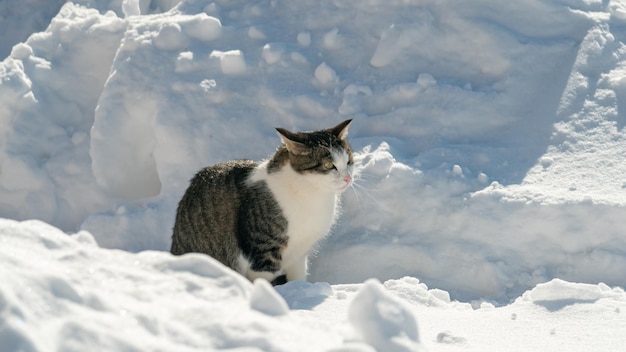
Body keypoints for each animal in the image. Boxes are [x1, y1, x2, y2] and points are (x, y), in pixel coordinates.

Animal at [171, 119, 354, 284]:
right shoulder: (263, 249)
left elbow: (298, 277)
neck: (311, 194)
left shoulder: (300, 254)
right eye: (329, 165)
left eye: (349, 161)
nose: (348, 178)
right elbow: (265, 279)